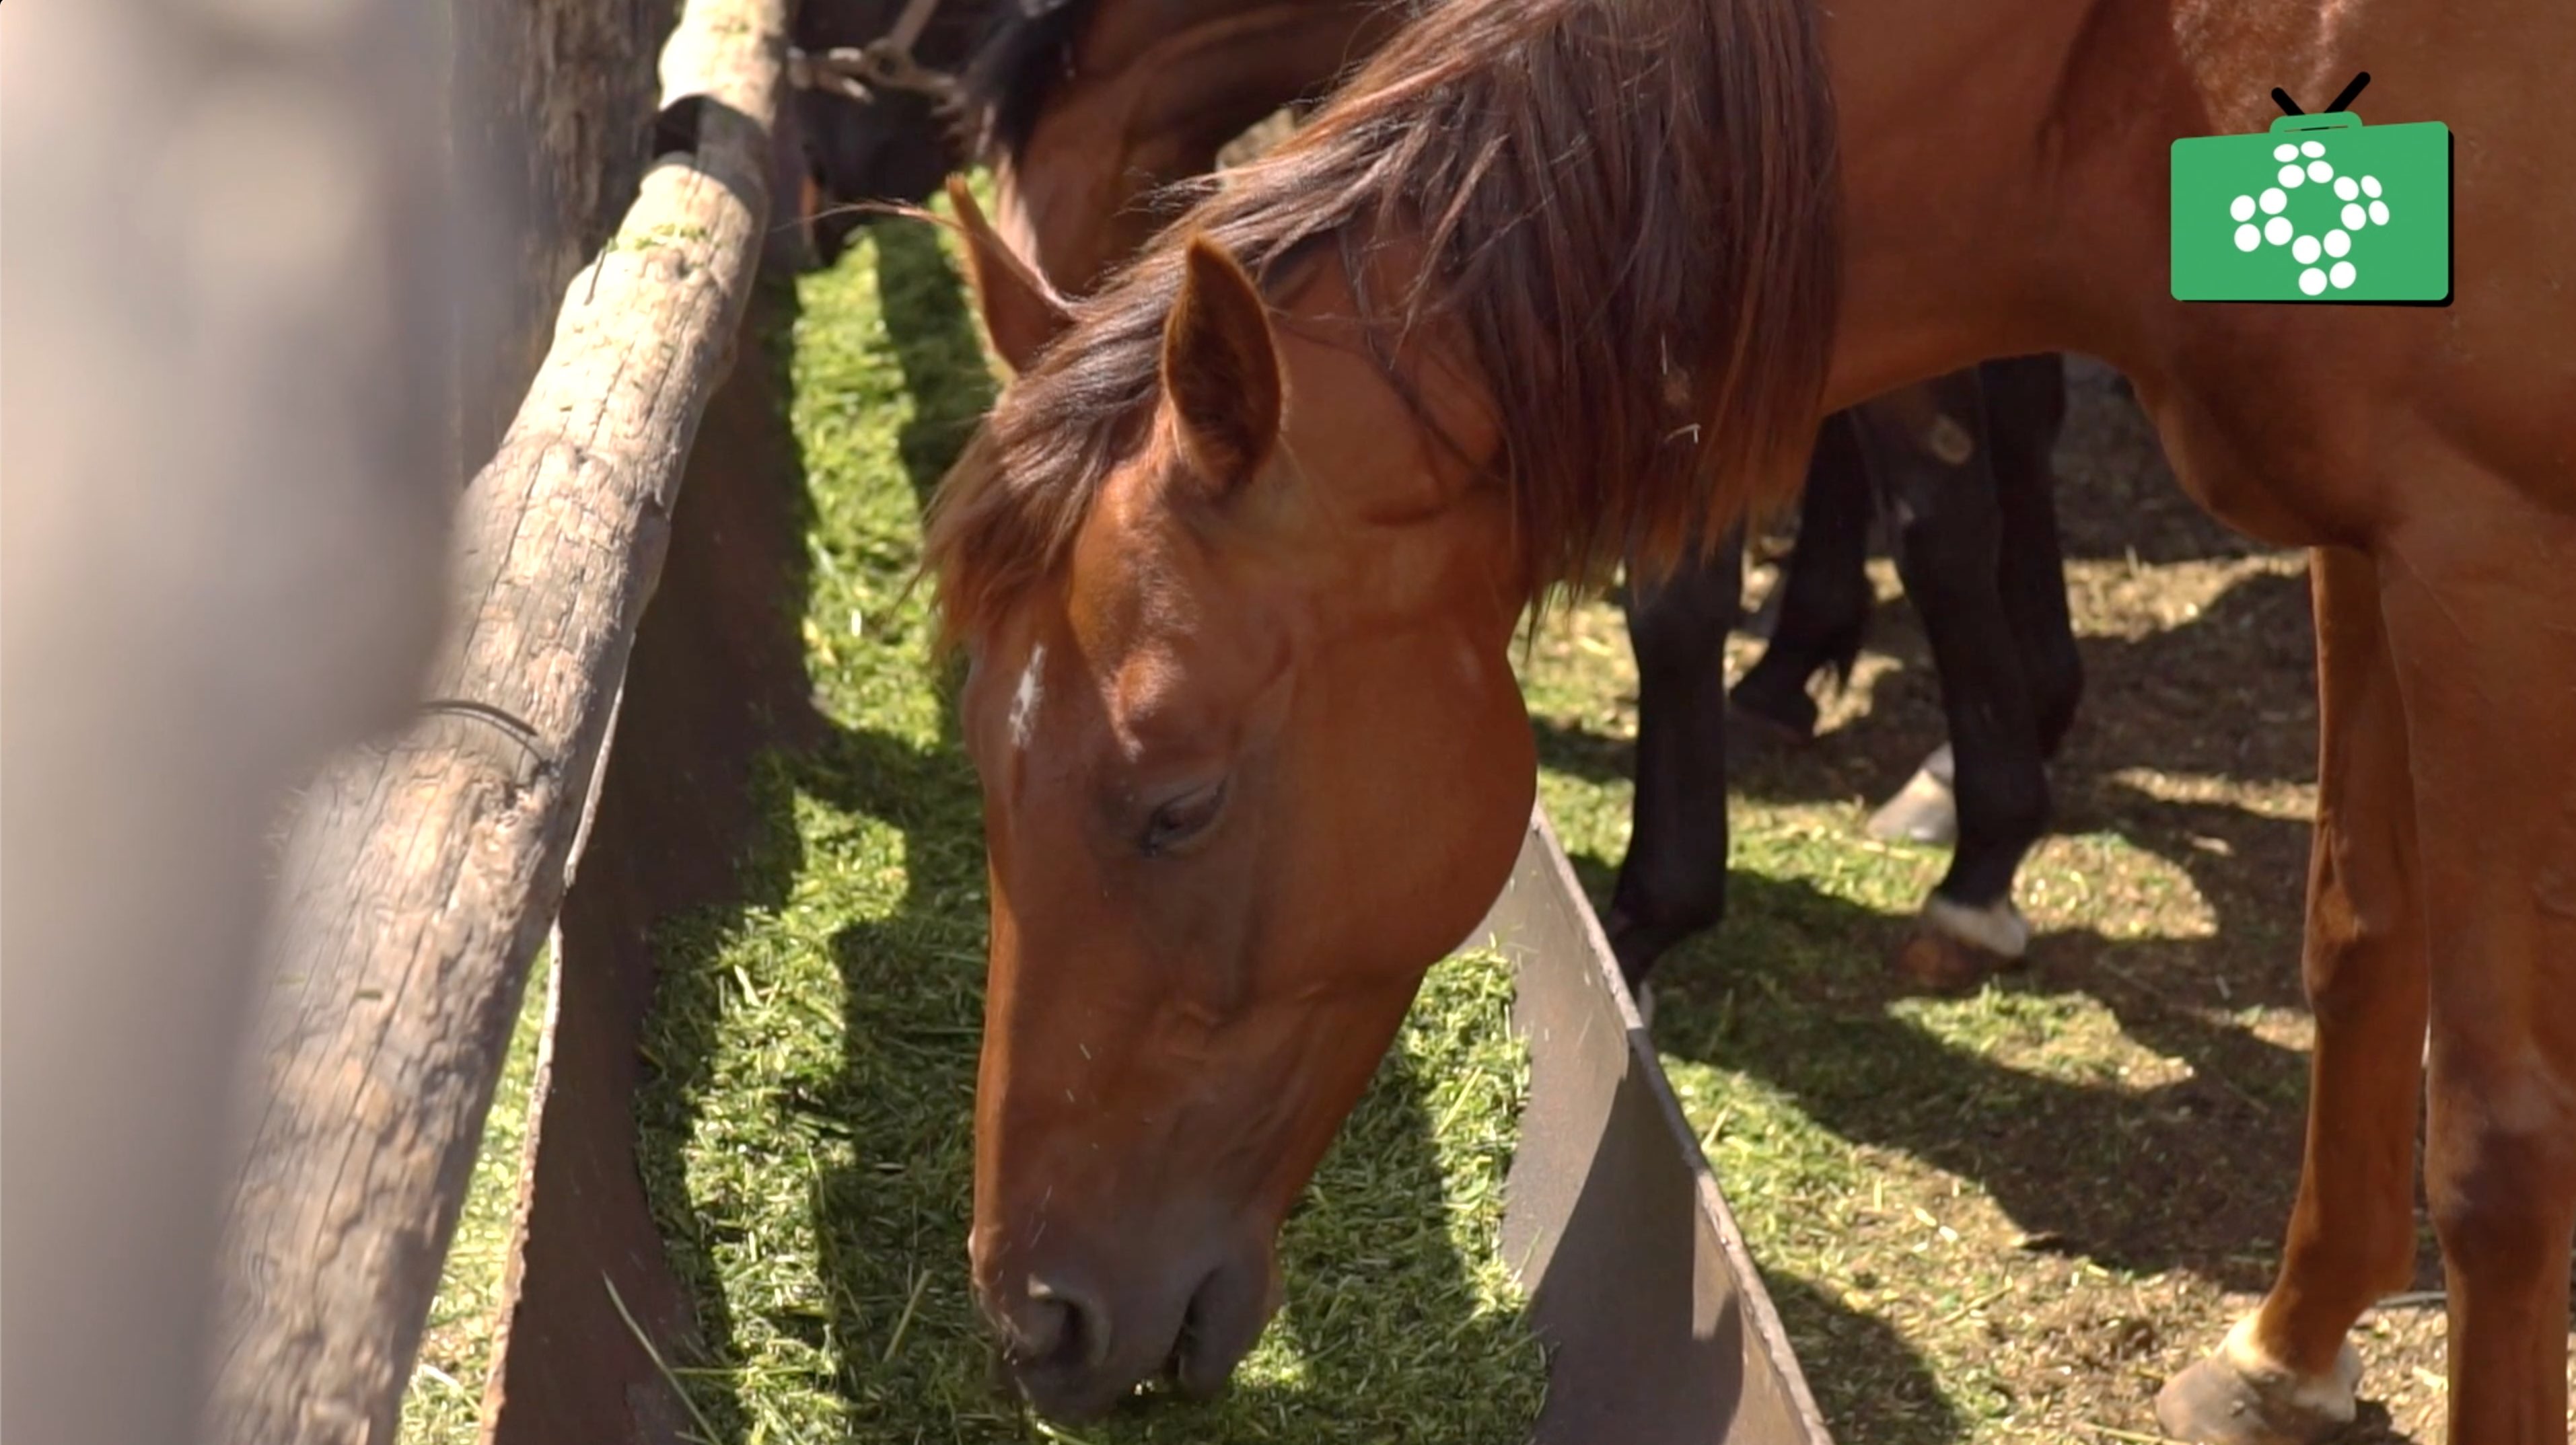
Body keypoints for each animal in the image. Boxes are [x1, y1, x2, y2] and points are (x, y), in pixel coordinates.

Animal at [917, 0, 2565, 1421]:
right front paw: (2285, 1354)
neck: (2150, 62)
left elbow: (2497, 1142)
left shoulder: (2480, 556)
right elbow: (2356, 947)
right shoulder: (2364, 540)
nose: (1033, 1320)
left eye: (1178, 804)